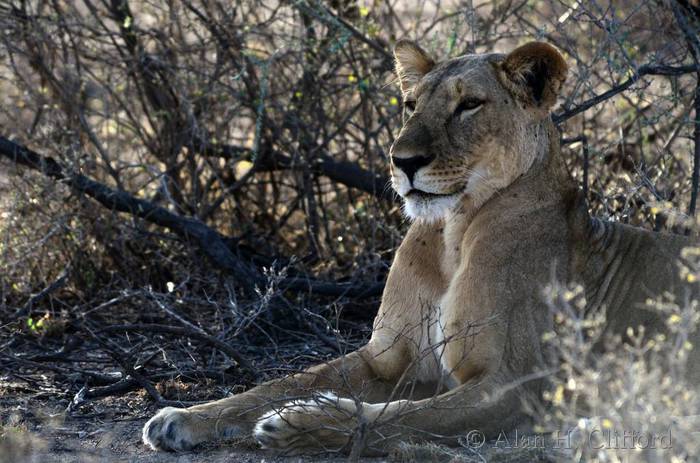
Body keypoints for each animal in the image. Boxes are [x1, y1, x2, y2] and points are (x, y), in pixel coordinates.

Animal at [142, 40, 700, 456]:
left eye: (468, 105)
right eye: (411, 106)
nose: (402, 160)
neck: (453, 234)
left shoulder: (518, 384)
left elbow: (403, 418)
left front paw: (299, 424)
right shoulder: (386, 359)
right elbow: (280, 383)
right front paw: (181, 417)